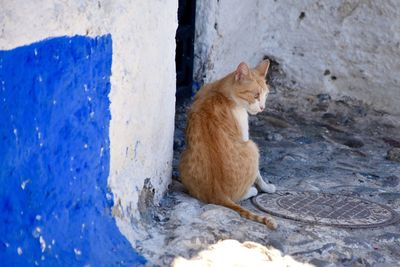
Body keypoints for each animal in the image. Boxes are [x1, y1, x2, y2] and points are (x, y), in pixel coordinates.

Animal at [179, 59, 276, 229]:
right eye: (256, 95)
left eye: (266, 95)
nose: (262, 108)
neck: (220, 91)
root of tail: (219, 194)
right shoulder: (245, 136)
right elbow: (258, 175)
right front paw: (266, 187)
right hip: (252, 147)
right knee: (238, 196)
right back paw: (251, 191)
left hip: (183, 157)